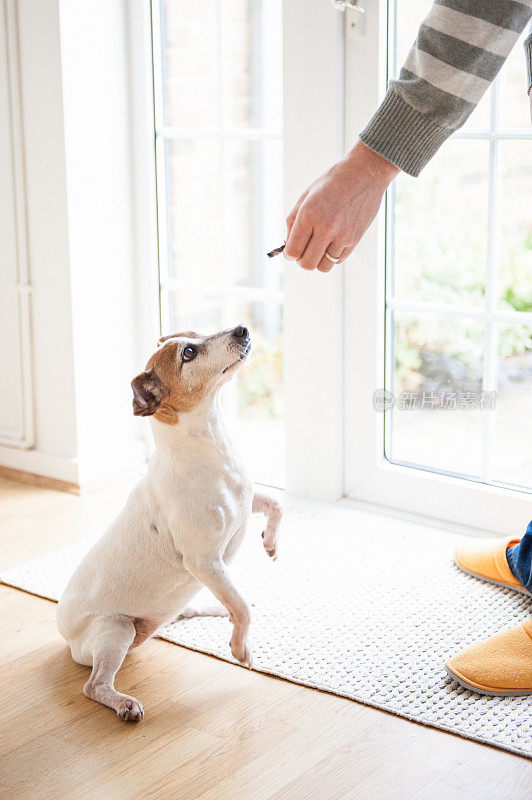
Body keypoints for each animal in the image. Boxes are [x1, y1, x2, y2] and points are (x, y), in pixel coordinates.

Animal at [56, 324, 282, 720]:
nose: (241, 328)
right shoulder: (205, 561)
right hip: (116, 629)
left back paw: (212, 608)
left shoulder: (245, 505)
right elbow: (239, 606)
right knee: (94, 686)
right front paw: (241, 648)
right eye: (189, 354)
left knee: (193, 608)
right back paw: (124, 703)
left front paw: (270, 541)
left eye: (199, 334)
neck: (212, 448)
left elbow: (277, 504)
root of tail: (64, 635)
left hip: (164, 610)